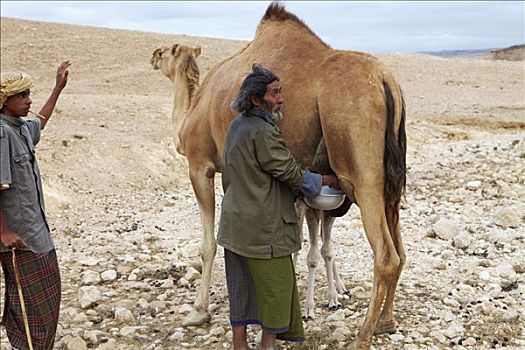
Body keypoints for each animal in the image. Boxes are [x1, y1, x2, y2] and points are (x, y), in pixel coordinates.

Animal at [149, 4, 408, 348]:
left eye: (165, 51)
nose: (152, 55)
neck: (192, 112)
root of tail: (385, 80)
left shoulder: (200, 165)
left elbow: (209, 245)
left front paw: (198, 310)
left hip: (360, 166)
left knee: (386, 254)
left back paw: (362, 336)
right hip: (392, 177)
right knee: (400, 249)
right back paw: (385, 323)